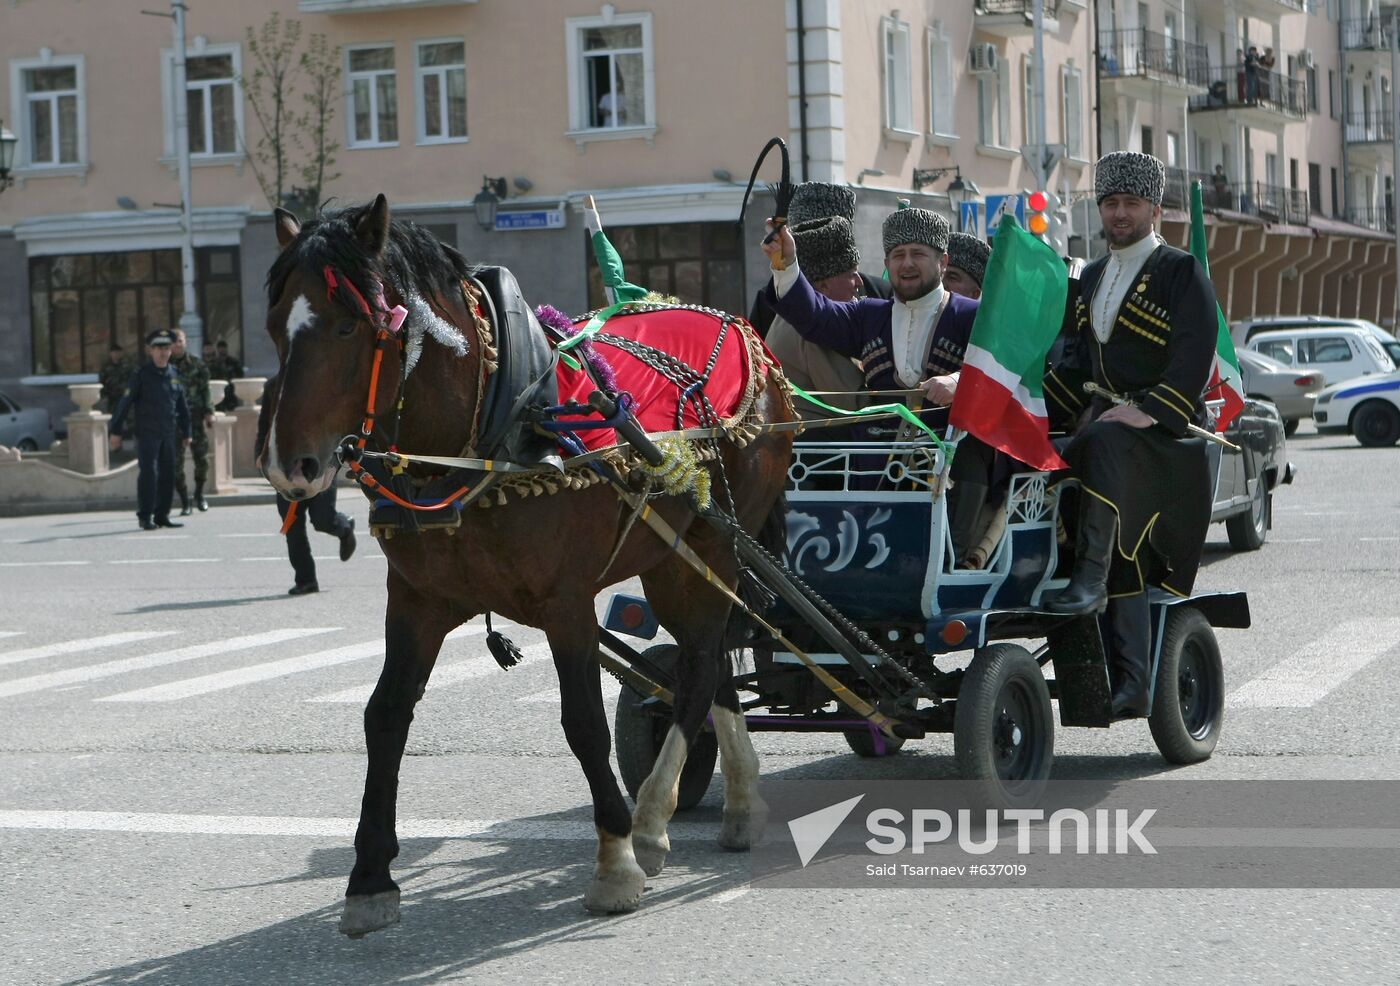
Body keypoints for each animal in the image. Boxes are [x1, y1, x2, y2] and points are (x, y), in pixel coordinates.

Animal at [257, 194, 795, 941]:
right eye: (276, 326)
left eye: (346, 325)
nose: (290, 466)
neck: (492, 429)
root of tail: (737, 325)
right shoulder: (416, 600)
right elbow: (385, 716)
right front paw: (369, 879)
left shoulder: (565, 603)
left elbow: (582, 722)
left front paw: (615, 861)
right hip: (672, 556)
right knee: (708, 661)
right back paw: (738, 802)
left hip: (712, 546)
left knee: (698, 669)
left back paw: (652, 819)